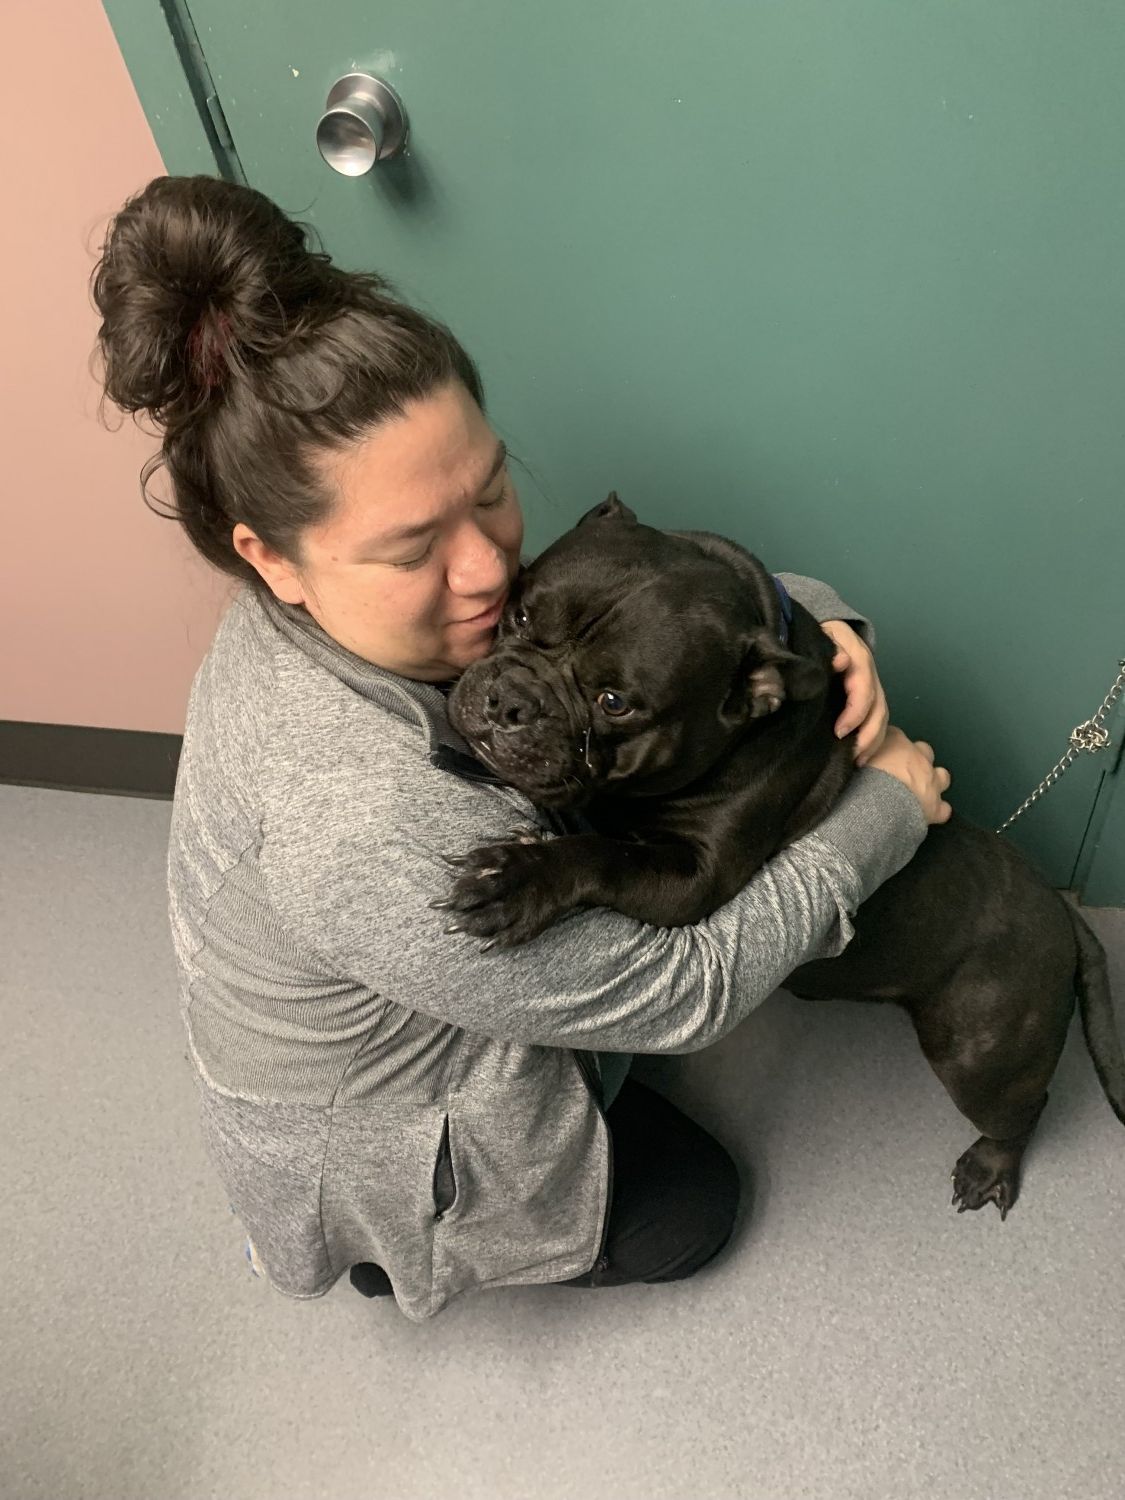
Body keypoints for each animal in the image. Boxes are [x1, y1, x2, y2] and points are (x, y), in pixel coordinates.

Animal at [450, 498, 1125, 1212]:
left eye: (615, 703)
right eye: (521, 614)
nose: (511, 699)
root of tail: (1063, 912)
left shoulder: (689, 879)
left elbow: (601, 853)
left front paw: (515, 880)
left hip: (979, 1056)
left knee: (1023, 1105)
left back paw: (992, 1165)